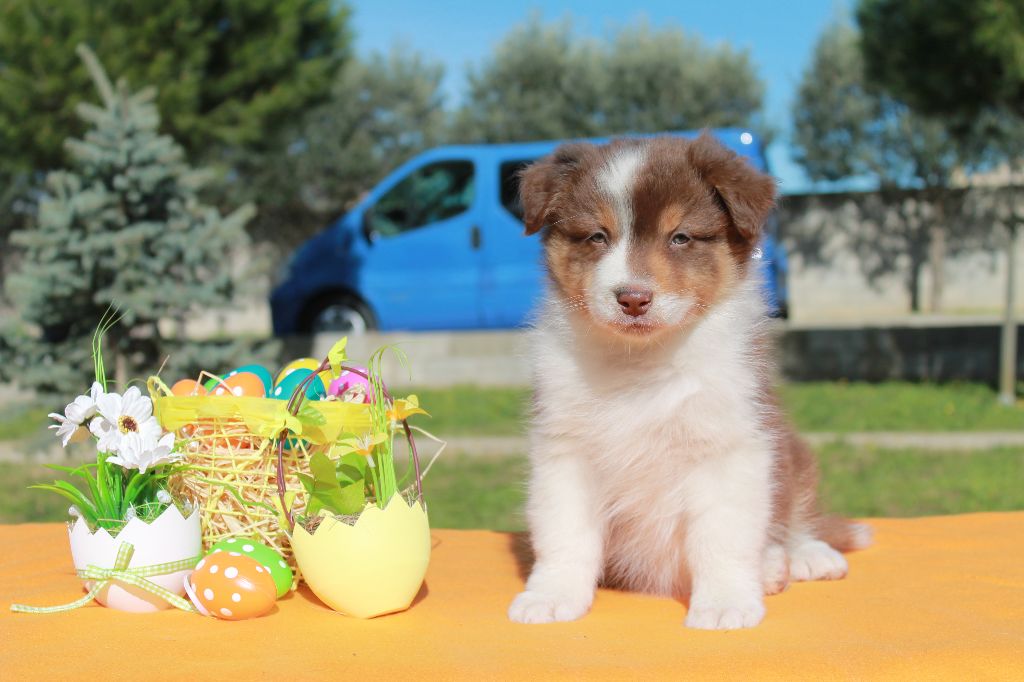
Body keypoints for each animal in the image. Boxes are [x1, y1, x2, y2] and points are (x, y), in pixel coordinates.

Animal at [508, 132, 871, 630]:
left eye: (679, 237)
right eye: (598, 236)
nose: (633, 298)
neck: (643, 361)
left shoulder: (729, 445)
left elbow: (722, 538)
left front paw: (724, 604)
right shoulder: (565, 448)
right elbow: (565, 532)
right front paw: (551, 595)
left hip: (791, 451)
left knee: (793, 512)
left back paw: (800, 557)